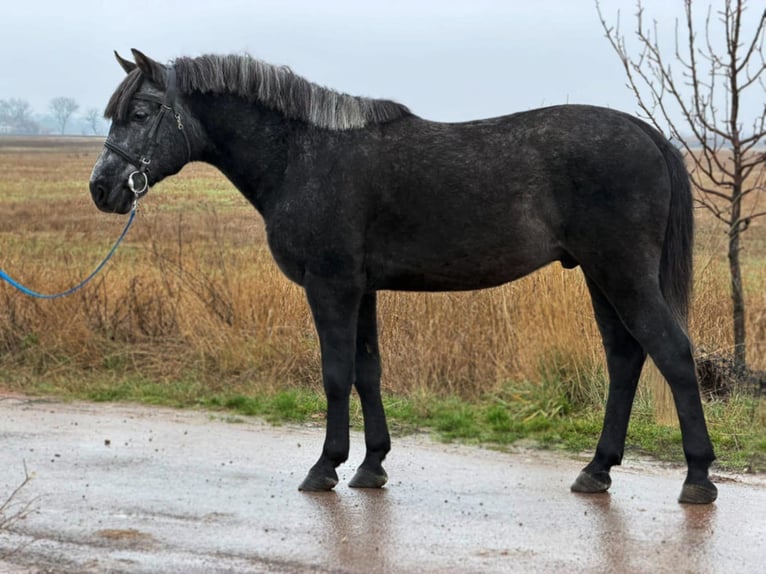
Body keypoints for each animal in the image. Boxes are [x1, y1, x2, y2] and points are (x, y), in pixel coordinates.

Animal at [89, 49, 717, 504]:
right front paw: (371, 466)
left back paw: (697, 479)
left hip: (622, 272)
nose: (102, 188)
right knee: (625, 358)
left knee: (672, 354)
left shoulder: (332, 285)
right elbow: (368, 372)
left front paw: (325, 467)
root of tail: (647, 133)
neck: (302, 155)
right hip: (600, 274)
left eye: (139, 114)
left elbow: (336, 375)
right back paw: (597, 470)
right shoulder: (361, 289)